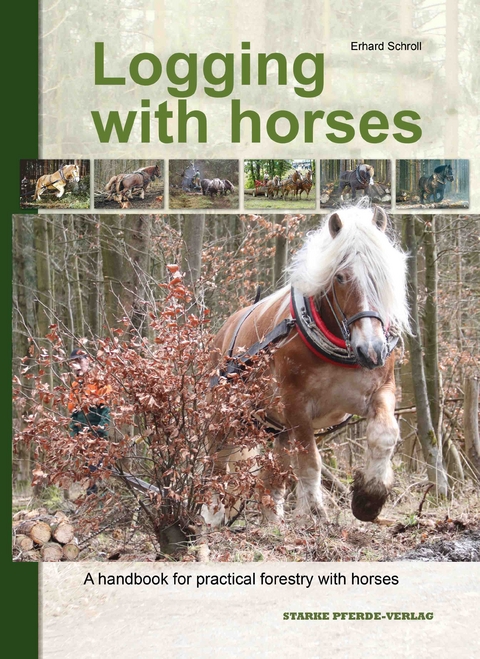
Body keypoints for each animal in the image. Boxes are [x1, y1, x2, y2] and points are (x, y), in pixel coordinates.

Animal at [206, 205, 409, 527]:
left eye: (383, 275)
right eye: (340, 277)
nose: (372, 350)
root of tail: (224, 330)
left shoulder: (382, 390)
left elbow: (384, 435)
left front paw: (369, 498)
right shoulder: (296, 403)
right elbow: (309, 460)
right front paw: (314, 512)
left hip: (274, 425)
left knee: (273, 473)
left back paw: (272, 520)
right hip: (226, 416)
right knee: (217, 463)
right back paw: (210, 517)